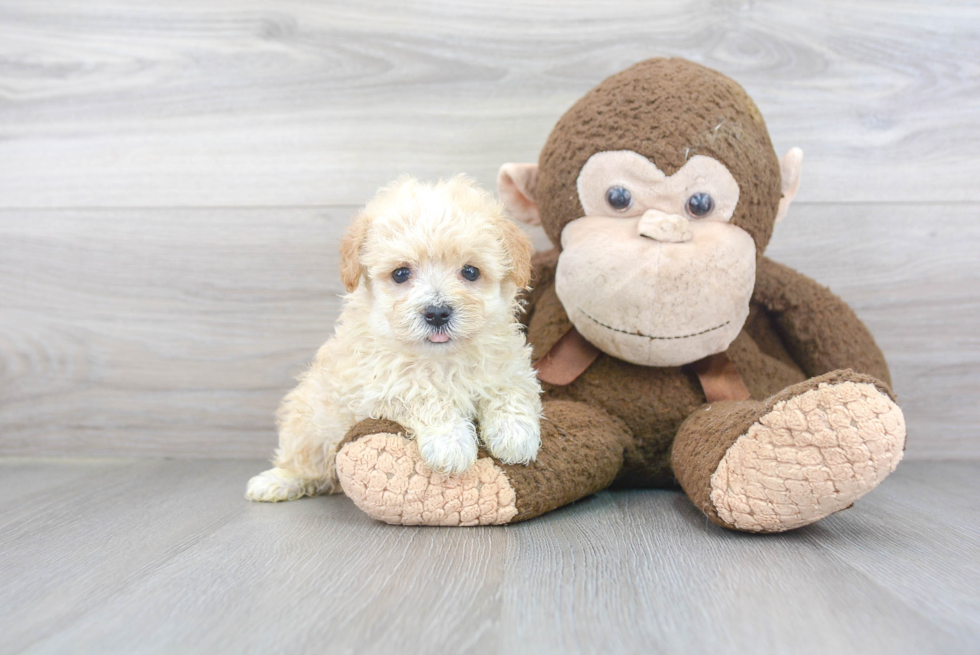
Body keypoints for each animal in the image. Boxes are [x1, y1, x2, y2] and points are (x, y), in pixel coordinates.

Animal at [242, 174, 540, 502]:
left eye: (471, 272)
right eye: (400, 274)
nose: (437, 313)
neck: (443, 360)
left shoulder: (510, 366)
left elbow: (509, 391)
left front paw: (515, 435)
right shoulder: (379, 387)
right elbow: (425, 396)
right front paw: (451, 444)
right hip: (308, 424)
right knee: (304, 463)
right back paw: (276, 481)